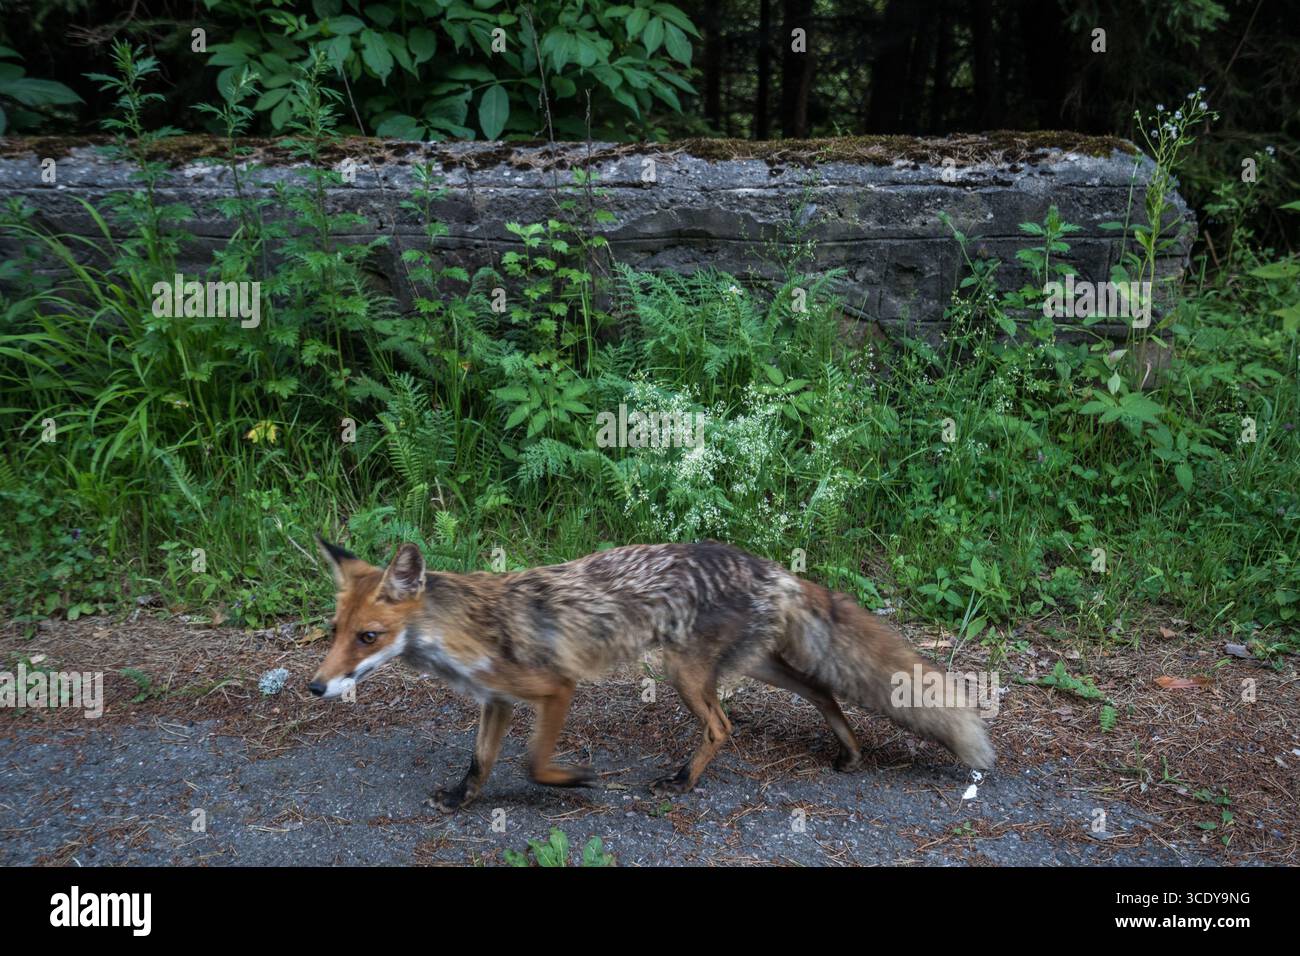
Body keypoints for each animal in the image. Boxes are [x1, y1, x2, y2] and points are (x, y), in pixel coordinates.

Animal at [309, 537, 995, 812]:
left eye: (369, 637)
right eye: (334, 631)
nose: (316, 686)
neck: (468, 628)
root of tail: (771, 567)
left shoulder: (555, 688)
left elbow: (532, 762)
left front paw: (576, 778)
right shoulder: (495, 700)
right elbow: (479, 763)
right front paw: (460, 800)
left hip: (684, 675)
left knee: (723, 728)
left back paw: (683, 781)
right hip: (757, 664)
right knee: (825, 688)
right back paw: (848, 752)